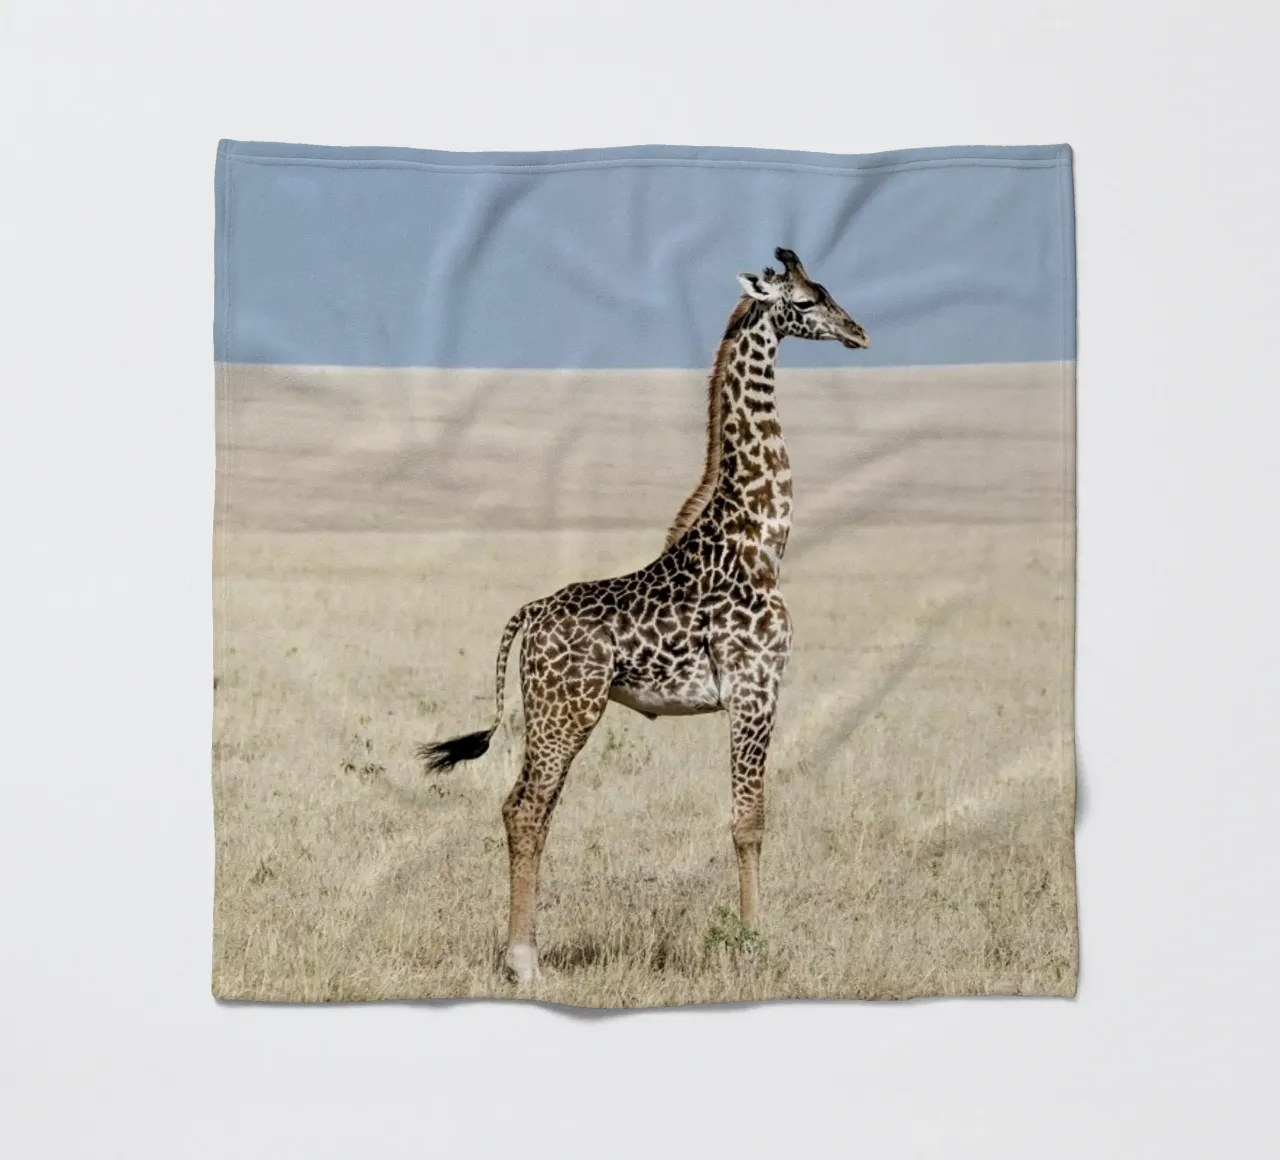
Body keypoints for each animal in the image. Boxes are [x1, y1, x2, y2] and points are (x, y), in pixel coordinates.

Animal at [417, 248, 869, 985]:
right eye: (805, 302)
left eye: (828, 292)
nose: (859, 332)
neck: (760, 543)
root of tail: (530, 613)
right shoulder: (755, 689)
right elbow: (749, 822)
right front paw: (753, 943)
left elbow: (747, 819)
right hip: (566, 710)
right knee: (525, 809)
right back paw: (523, 961)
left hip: (555, 713)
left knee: (527, 808)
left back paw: (522, 953)